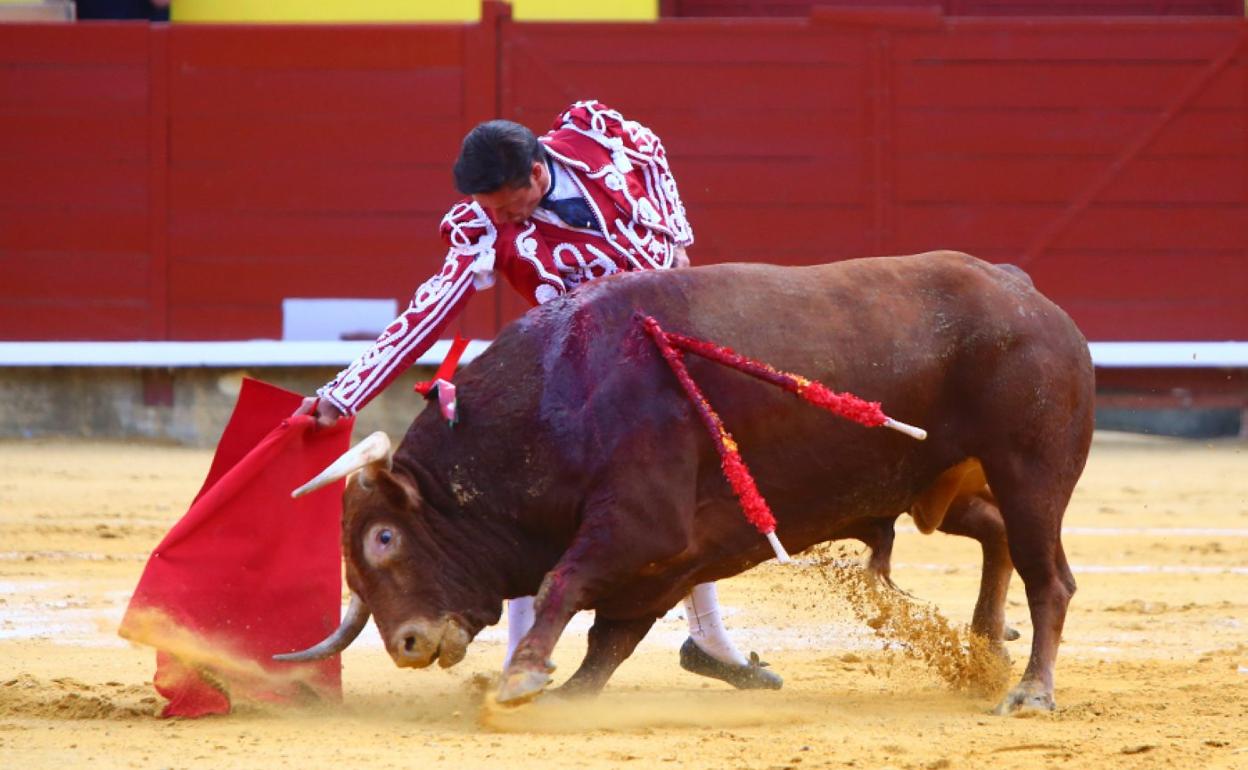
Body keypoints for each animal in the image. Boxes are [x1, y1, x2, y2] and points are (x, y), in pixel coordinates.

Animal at [275, 252, 1093, 713]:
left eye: (384, 538)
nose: (407, 643)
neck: (559, 399)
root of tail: (1023, 292)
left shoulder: (641, 528)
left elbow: (564, 584)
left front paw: (523, 677)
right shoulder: (673, 557)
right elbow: (610, 639)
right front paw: (567, 694)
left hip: (1031, 471)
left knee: (1049, 576)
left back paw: (1031, 691)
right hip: (938, 481)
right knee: (994, 534)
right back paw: (987, 646)